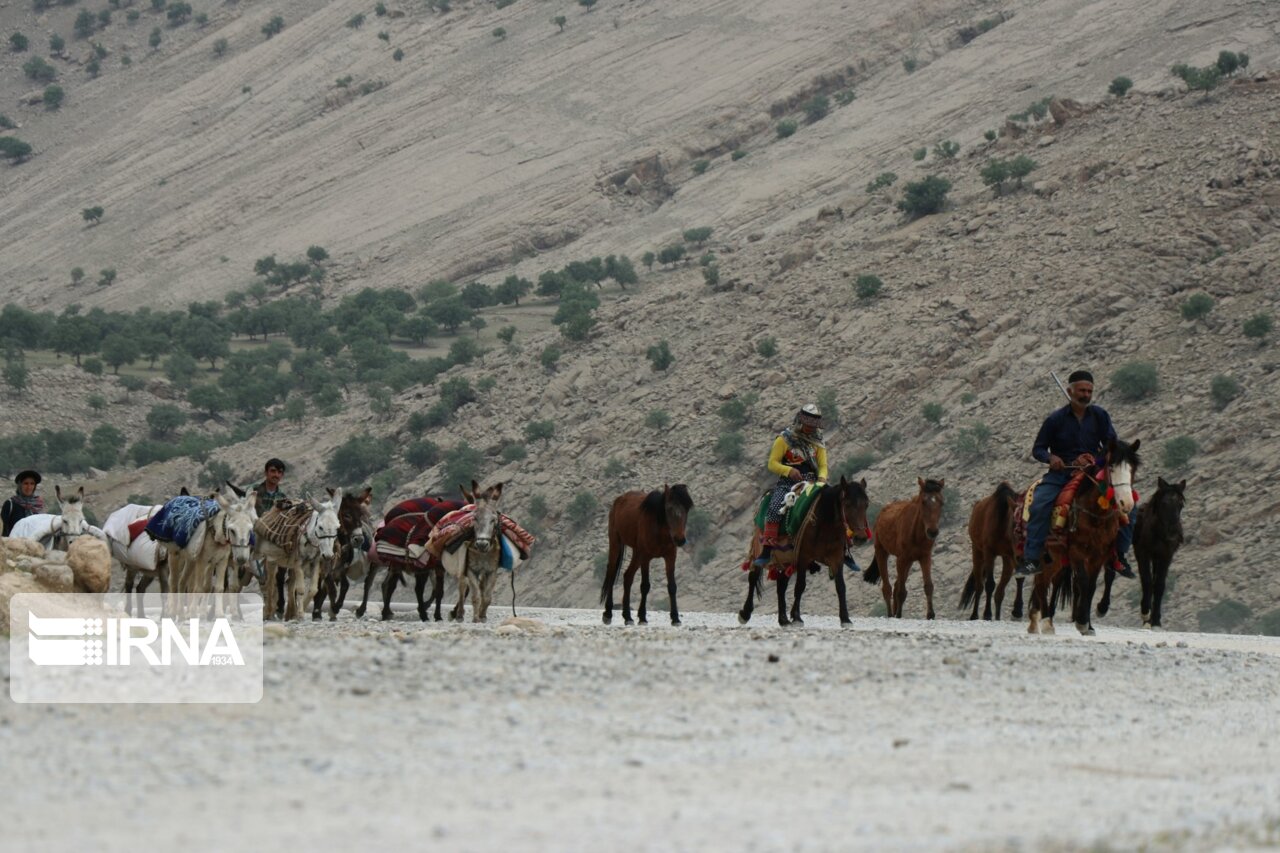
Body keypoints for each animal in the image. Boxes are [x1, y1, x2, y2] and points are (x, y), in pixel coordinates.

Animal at [599, 484, 691, 625]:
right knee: (611, 573)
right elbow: (645, 586)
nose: (680, 539)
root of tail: (619, 500)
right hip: (616, 543)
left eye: (687, 508)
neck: (659, 530)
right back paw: (608, 613)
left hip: (637, 553)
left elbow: (672, 586)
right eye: (669, 508)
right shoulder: (646, 558)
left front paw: (675, 618)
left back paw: (627, 616)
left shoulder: (670, 557)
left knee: (628, 576)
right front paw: (642, 617)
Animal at [742, 479, 870, 625]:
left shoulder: (837, 558)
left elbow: (841, 586)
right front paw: (796, 617)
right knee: (753, 577)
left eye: (866, 504)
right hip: (759, 550)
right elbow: (800, 586)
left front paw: (845, 619)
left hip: (785, 559)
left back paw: (783, 620)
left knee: (781, 586)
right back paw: (745, 613)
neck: (825, 525)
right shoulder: (803, 557)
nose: (861, 537)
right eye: (847, 504)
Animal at [865, 473, 947, 614]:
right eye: (923, 501)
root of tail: (882, 512)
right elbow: (901, 592)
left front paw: (930, 615)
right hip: (882, 552)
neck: (916, 535)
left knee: (896, 585)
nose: (932, 532)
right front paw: (898, 614)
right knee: (887, 588)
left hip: (908, 561)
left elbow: (928, 586)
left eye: (941, 502)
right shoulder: (902, 559)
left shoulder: (925, 557)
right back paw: (890, 614)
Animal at [962, 479, 1018, 617]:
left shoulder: (1011, 556)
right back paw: (974, 615)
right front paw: (987, 614)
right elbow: (989, 584)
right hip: (977, 551)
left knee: (999, 592)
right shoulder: (989, 552)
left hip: (1005, 558)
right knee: (979, 585)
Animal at [1095, 473, 1182, 627]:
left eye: (1180, 504)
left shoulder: (1165, 556)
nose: (1173, 534)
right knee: (1110, 575)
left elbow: (1159, 585)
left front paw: (1156, 620)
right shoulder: (1143, 553)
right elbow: (1146, 581)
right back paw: (1102, 608)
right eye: (1164, 503)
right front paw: (1145, 612)